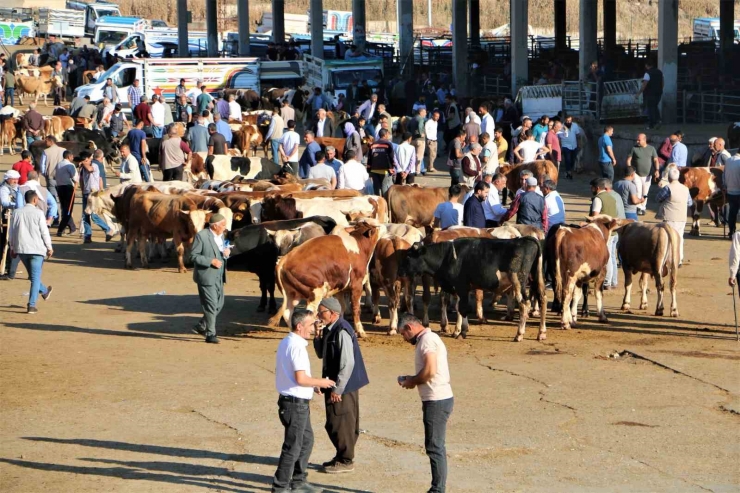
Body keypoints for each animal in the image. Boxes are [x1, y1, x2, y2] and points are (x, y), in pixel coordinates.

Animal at [396, 236, 548, 340]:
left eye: (408, 256)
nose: (399, 271)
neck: (447, 256)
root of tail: (526, 239)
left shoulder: (461, 287)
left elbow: (462, 308)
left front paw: (461, 331)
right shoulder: (459, 289)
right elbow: (459, 308)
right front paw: (459, 329)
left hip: (518, 281)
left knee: (524, 304)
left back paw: (519, 334)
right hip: (537, 278)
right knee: (542, 299)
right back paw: (541, 332)